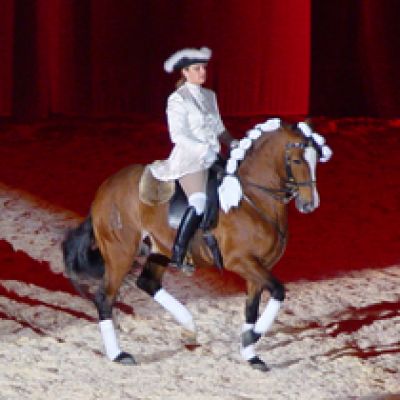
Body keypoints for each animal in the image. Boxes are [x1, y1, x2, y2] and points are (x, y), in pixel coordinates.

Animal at [61, 119, 332, 372]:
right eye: (296, 160)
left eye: (316, 160)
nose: (310, 204)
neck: (253, 199)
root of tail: (105, 189)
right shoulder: (241, 261)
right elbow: (278, 290)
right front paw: (251, 337)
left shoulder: (259, 267)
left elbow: (252, 310)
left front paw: (251, 354)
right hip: (121, 253)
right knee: (104, 297)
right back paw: (119, 354)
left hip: (160, 249)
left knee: (147, 282)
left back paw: (189, 325)